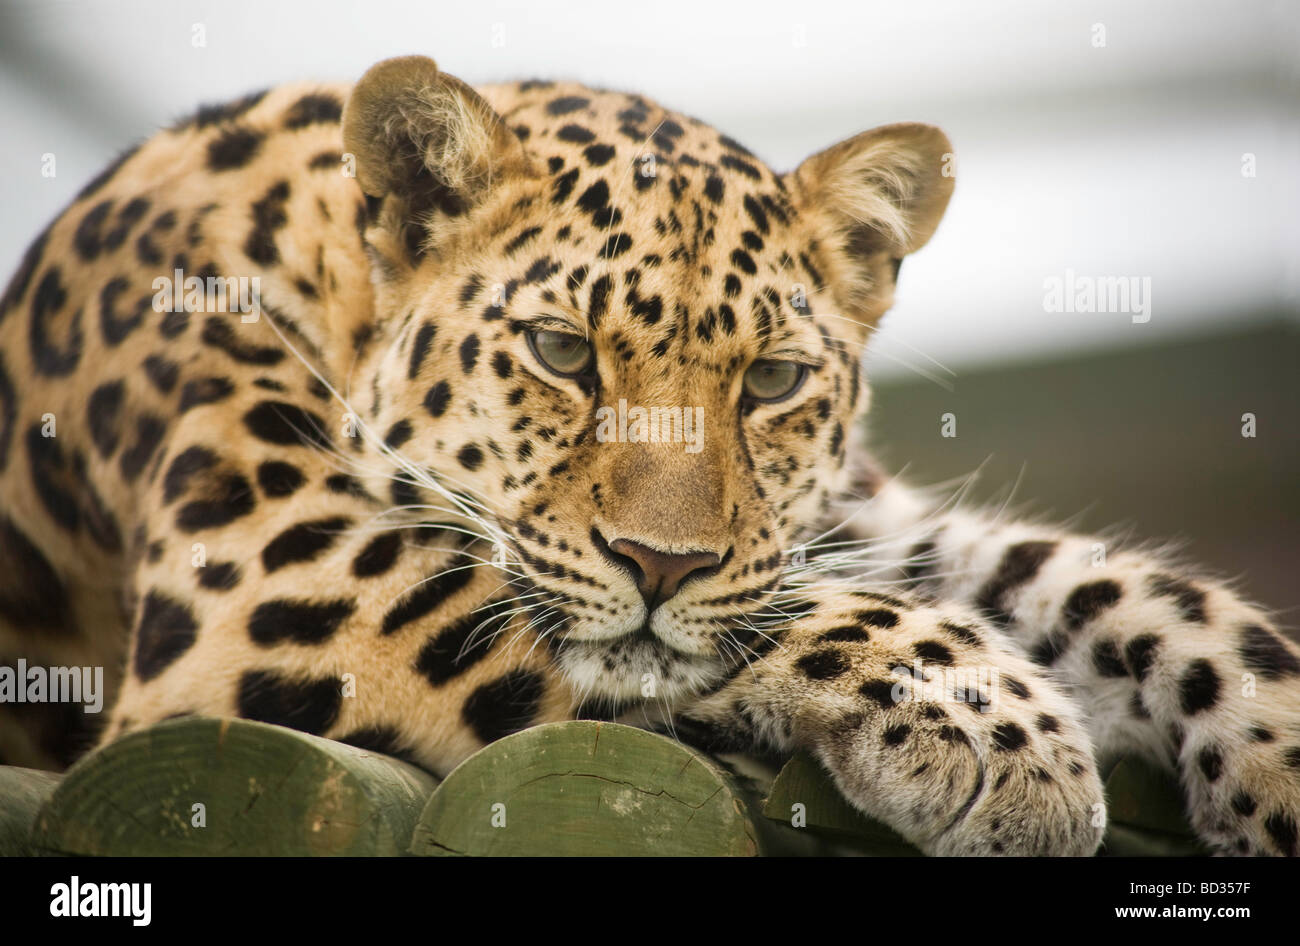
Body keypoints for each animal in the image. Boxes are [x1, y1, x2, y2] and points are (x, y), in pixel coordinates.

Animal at [1, 54, 1297, 856]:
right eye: (560, 351)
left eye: (769, 382)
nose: (661, 564)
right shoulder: (267, 560)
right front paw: (1004, 739)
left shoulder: (847, 522)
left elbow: (1123, 589)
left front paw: (1276, 766)